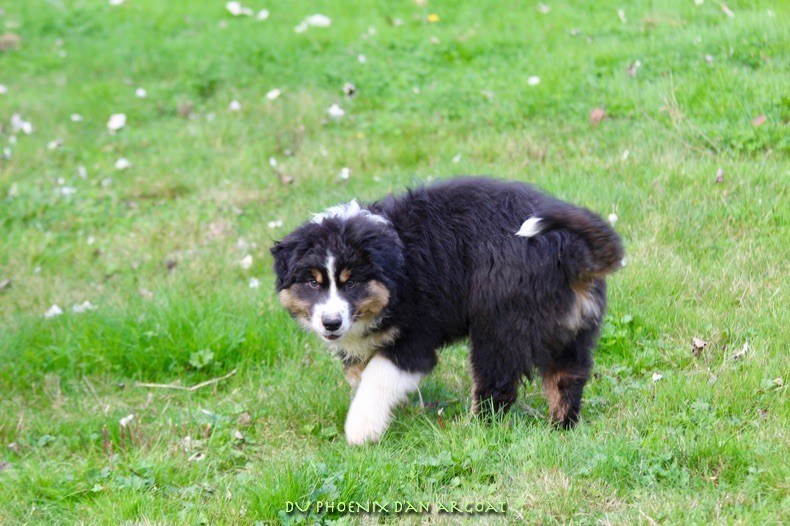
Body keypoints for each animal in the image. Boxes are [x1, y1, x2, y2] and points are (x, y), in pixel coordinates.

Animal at [271, 177, 623, 445]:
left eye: (351, 281)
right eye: (312, 283)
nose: (331, 324)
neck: (397, 268)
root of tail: (569, 249)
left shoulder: (415, 339)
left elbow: (377, 379)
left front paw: (361, 429)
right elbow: (360, 374)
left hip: (500, 325)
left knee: (497, 387)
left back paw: (473, 430)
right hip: (572, 329)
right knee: (567, 380)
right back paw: (560, 429)